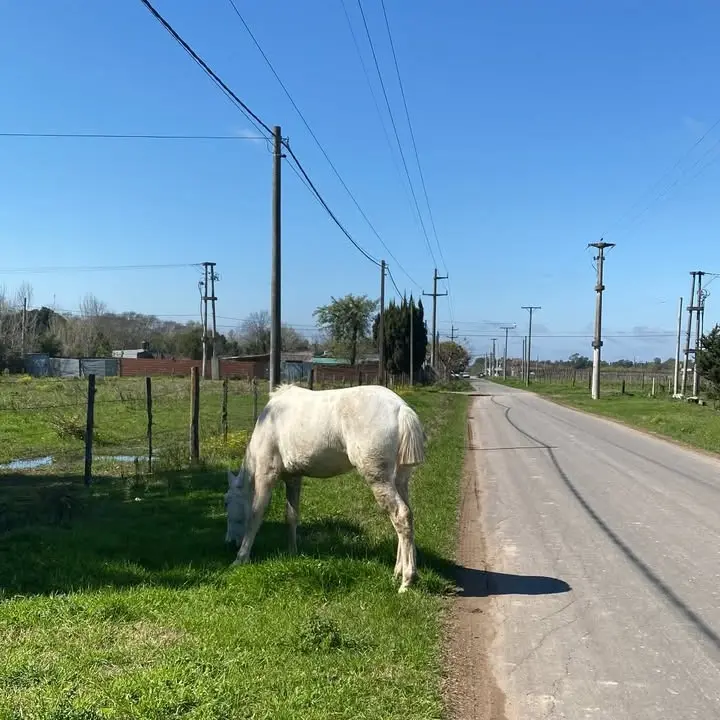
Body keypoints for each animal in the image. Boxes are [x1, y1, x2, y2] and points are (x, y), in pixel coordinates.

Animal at [224, 382, 426, 592]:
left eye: (226, 502)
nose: (229, 542)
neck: (268, 423)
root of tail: (401, 408)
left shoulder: (266, 473)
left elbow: (255, 514)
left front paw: (240, 558)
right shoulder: (294, 478)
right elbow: (291, 516)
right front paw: (291, 552)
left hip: (378, 478)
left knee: (400, 515)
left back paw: (407, 581)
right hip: (399, 480)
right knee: (407, 516)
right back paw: (398, 572)